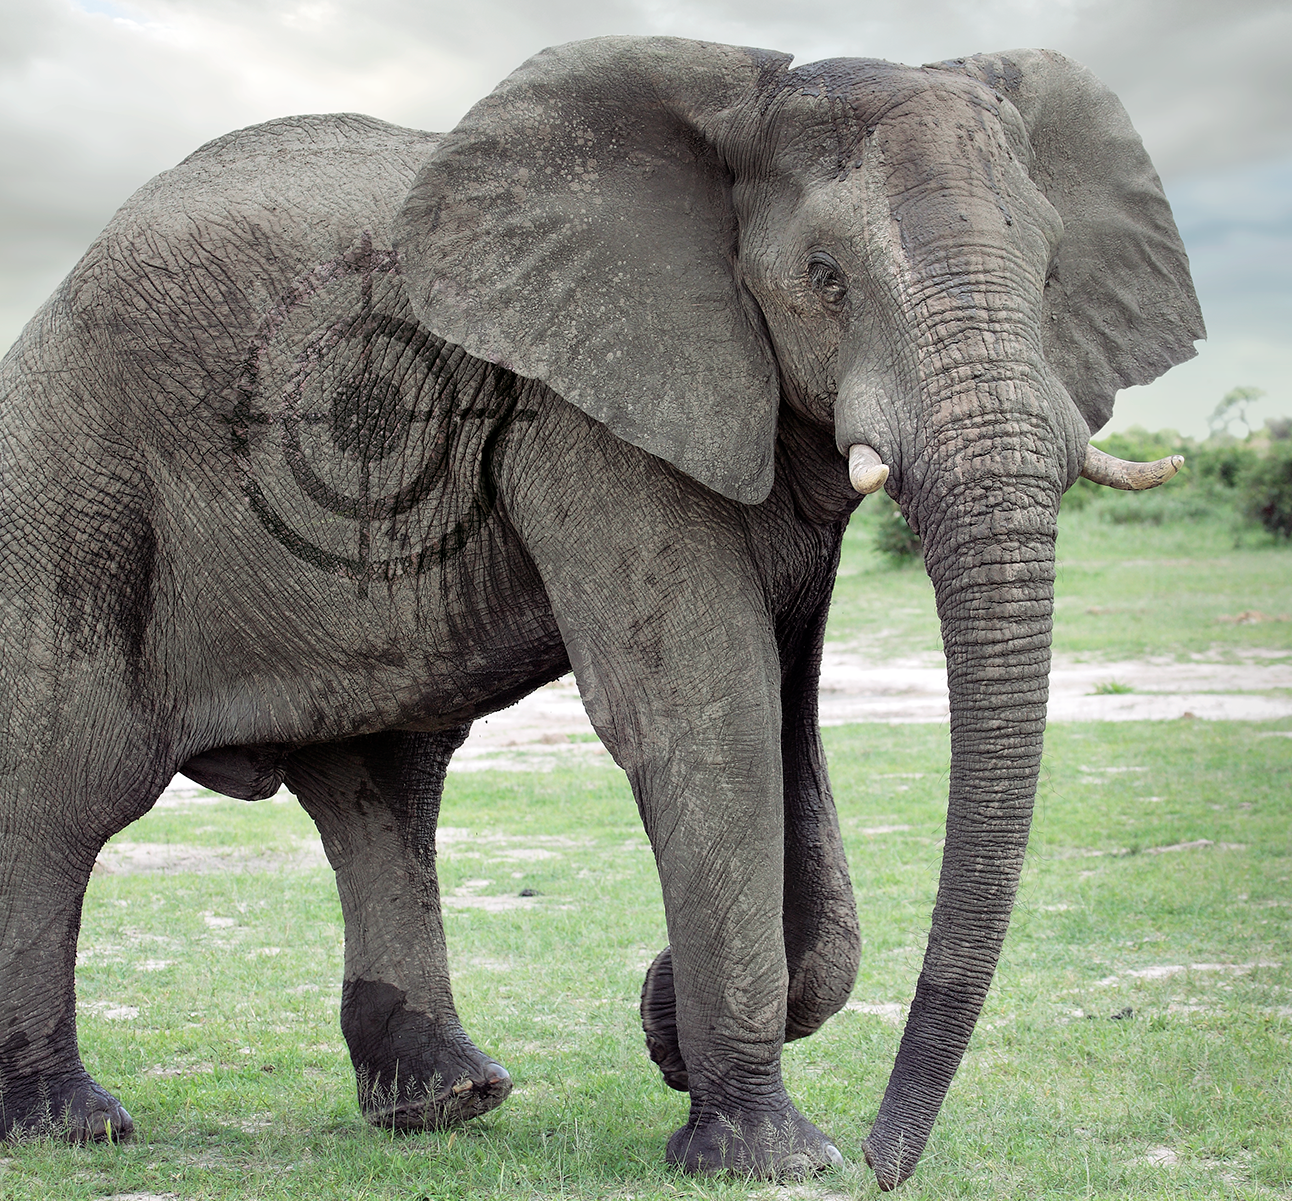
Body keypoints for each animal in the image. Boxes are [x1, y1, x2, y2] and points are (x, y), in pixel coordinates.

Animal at [0, 32, 1198, 1182]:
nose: (882, 1165)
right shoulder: (583, 412)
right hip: (70, 492)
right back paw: (74, 1126)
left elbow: (788, 722)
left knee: (382, 784)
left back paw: (447, 1102)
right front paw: (768, 1158)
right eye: (824, 277)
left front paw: (669, 1026)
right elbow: (707, 712)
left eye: (1051, 273)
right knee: (69, 786)